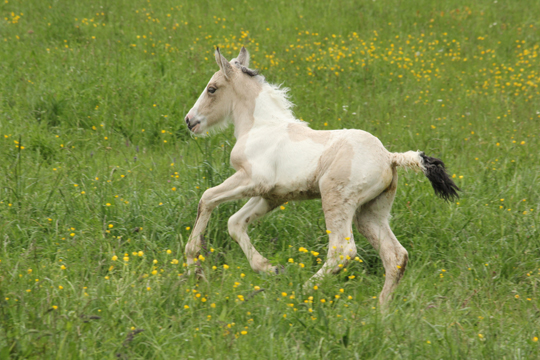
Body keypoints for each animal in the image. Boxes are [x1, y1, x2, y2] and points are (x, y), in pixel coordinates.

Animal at [184, 46, 458, 306]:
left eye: (212, 89)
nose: (189, 120)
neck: (261, 127)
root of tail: (390, 157)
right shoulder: (272, 196)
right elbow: (235, 222)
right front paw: (270, 268)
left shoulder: (253, 180)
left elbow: (207, 198)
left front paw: (193, 267)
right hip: (370, 212)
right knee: (396, 256)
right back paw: (381, 312)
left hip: (336, 199)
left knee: (342, 251)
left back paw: (300, 292)